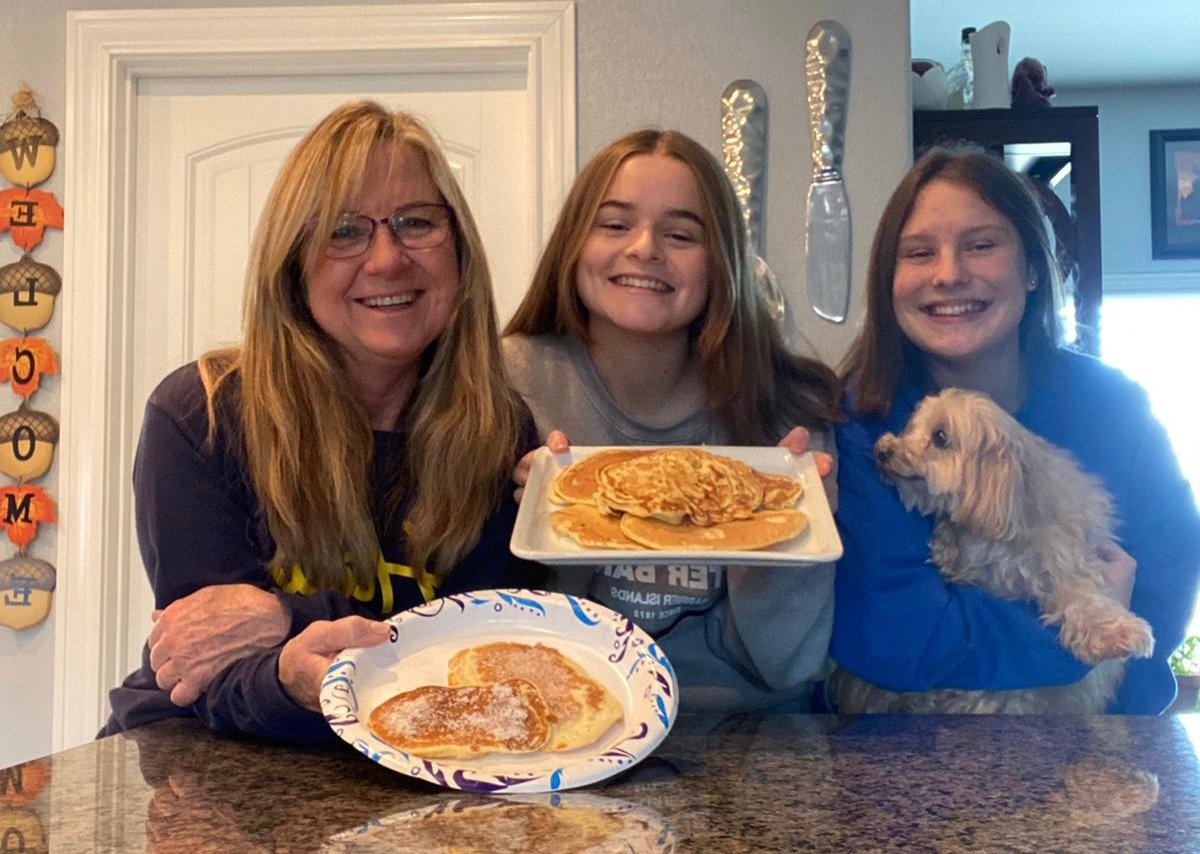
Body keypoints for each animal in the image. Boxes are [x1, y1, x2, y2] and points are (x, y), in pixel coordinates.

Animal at [835, 388, 1152, 714]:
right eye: (910, 428)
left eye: (940, 436)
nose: (882, 450)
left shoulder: (1064, 563)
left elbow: (1083, 598)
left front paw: (1115, 632)